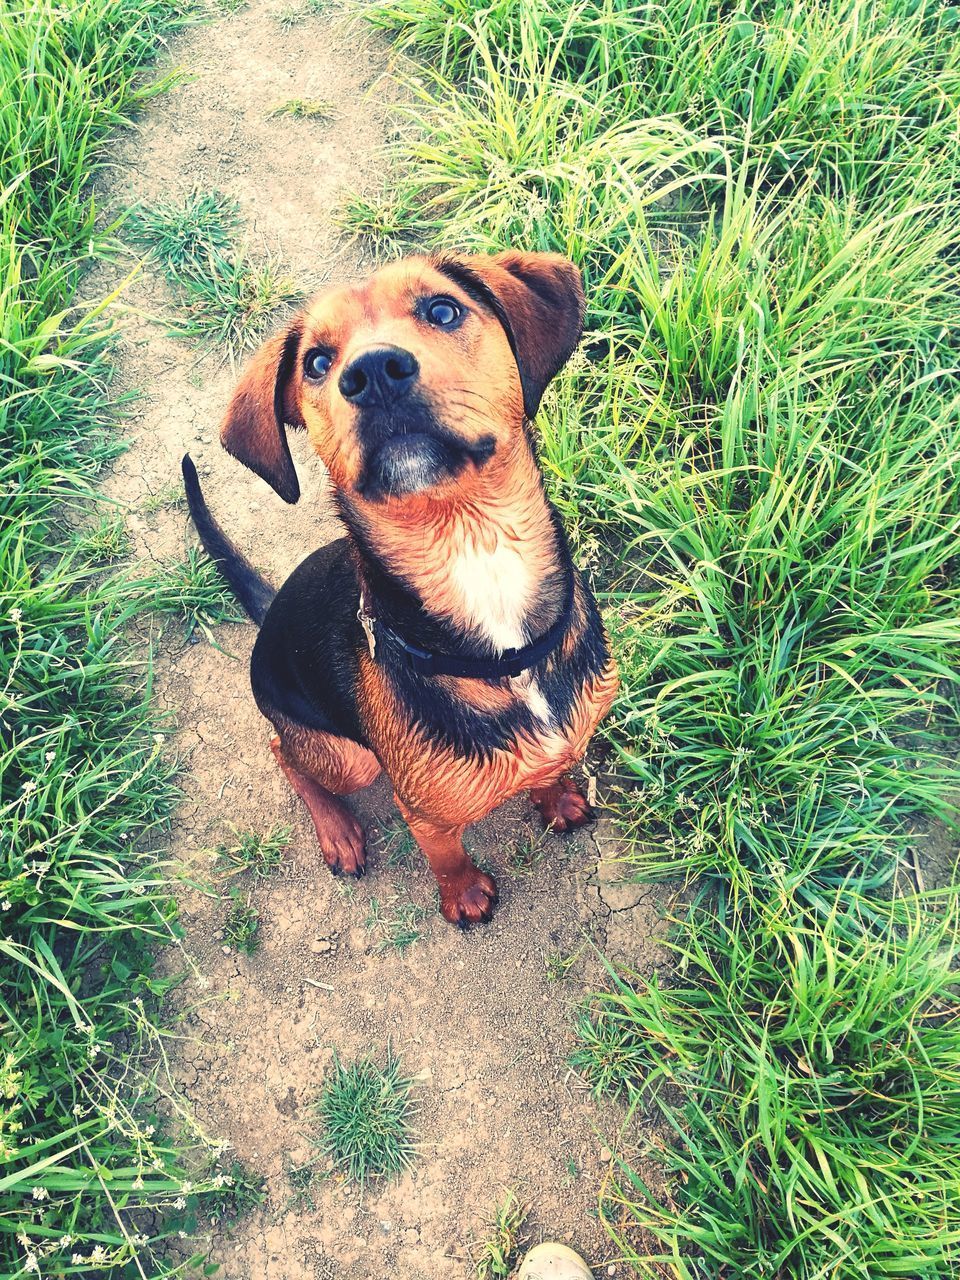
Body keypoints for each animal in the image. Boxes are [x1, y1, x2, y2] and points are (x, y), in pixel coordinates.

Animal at [184, 249, 619, 926]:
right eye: (317, 362)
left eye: (442, 310)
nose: (371, 374)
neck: (474, 550)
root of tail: (272, 609)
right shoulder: (425, 814)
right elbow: (446, 857)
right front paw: (464, 897)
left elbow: (550, 770)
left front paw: (557, 798)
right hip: (352, 758)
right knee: (284, 752)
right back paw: (337, 830)